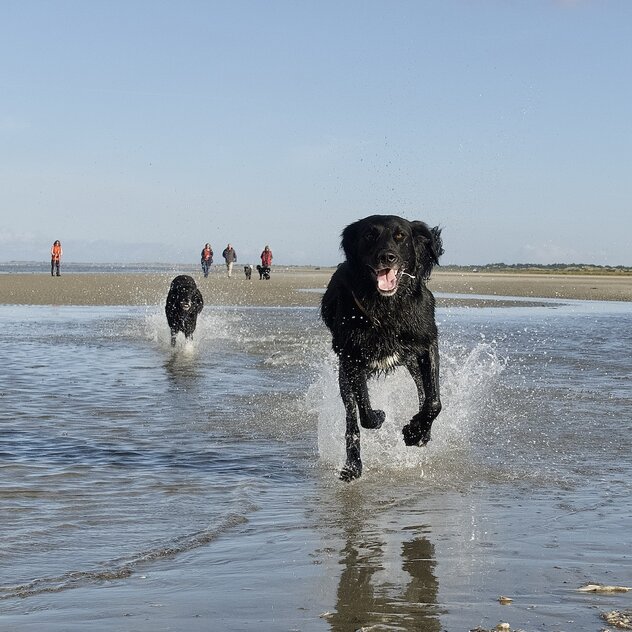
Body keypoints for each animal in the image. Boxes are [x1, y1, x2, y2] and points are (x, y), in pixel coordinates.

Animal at [320, 215, 444, 482]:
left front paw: (414, 432)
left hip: (412, 361)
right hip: (344, 375)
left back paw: (422, 433)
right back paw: (352, 466)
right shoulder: (352, 358)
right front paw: (380, 416)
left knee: (423, 393)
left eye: (400, 236)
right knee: (352, 420)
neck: (387, 308)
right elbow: (365, 413)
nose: (387, 257)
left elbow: (434, 402)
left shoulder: (427, 343)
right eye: (369, 235)